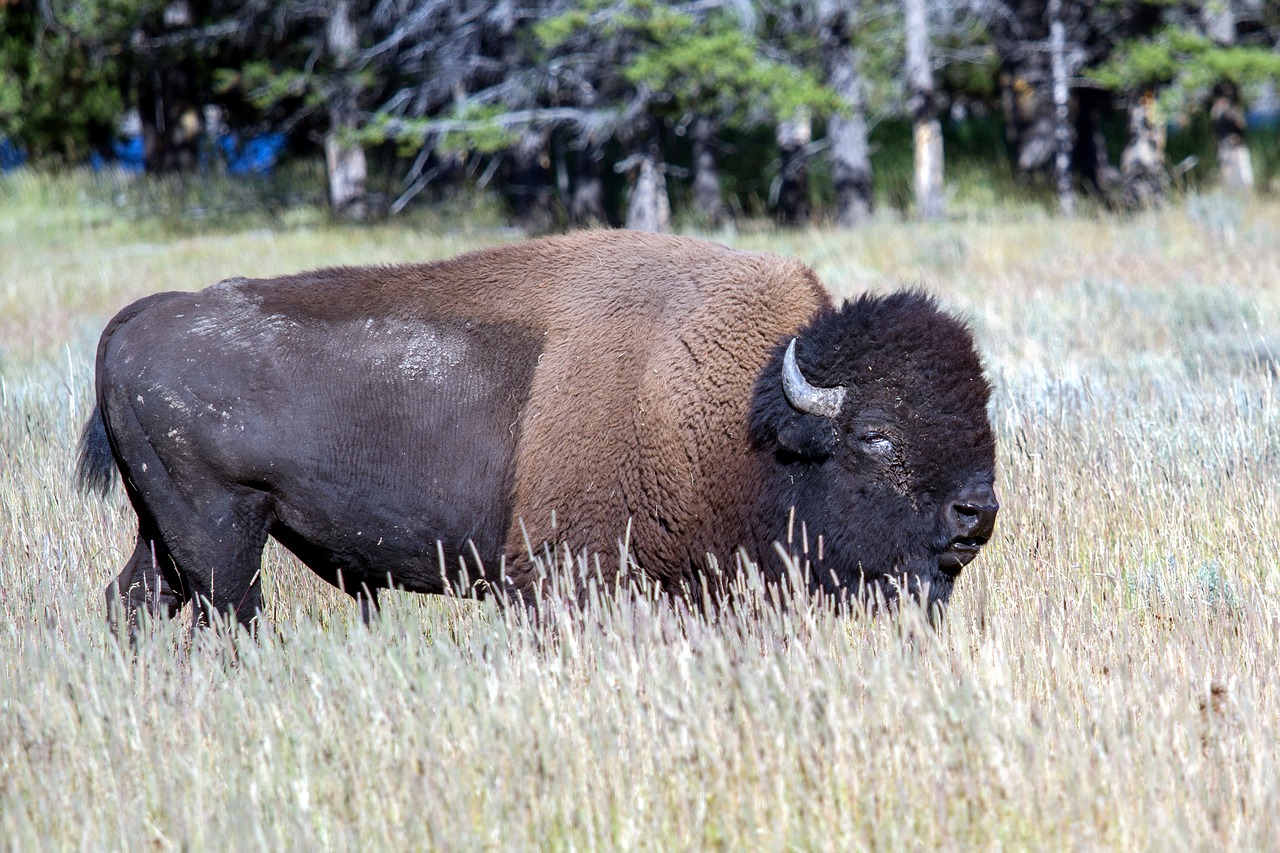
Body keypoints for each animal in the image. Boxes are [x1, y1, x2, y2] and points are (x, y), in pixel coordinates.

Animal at [77, 229, 998, 627]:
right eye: (876, 435)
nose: (976, 513)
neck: (741, 412)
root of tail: (135, 319)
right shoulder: (566, 577)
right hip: (221, 532)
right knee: (228, 615)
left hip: (163, 533)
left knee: (136, 602)